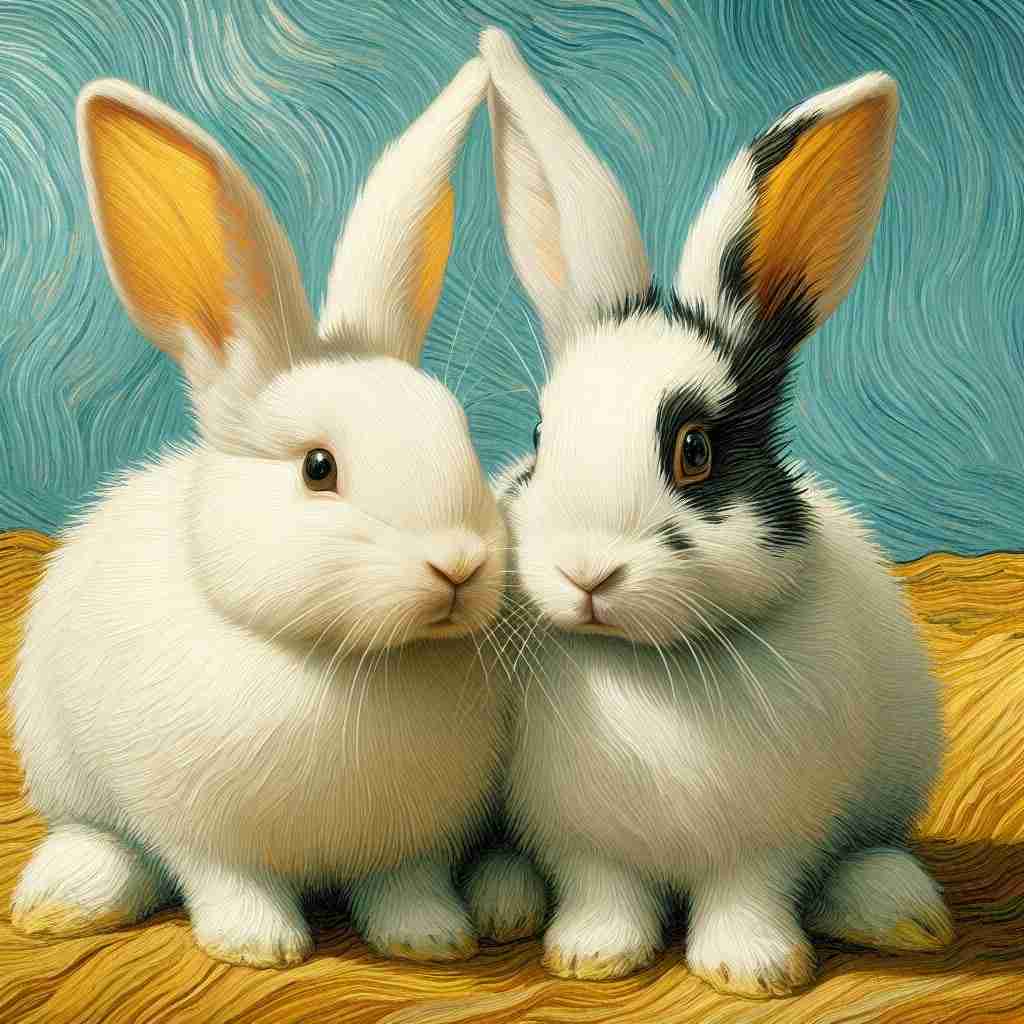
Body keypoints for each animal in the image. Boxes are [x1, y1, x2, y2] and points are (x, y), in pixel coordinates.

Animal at [8, 57, 534, 970]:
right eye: (319, 468)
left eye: (461, 434)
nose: (459, 565)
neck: (347, 661)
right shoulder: (196, 829)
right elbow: (224, 880)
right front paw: (259, 946)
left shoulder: (415, 843)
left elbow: (406, 885)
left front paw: (432, 940)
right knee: (105, 838)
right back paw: (68, 895)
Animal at [468, 27, 953, 999]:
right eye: (541, 436)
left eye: (694, 450)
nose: (585, 571)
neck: (646, 669)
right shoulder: (582, 842)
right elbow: (604, 891)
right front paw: (593, 956)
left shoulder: (771, 843)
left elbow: (750, 896)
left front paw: (755, 970)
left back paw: (897, 907)